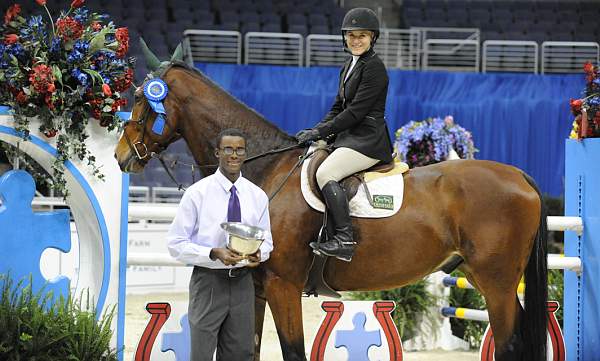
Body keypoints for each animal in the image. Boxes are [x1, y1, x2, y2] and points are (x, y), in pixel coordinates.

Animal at [113, 57, 548, 358]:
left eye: (141, 99)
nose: (121, 156)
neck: (263, 167)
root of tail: (520, 176)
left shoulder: (283, 286)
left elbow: (293, 352)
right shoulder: (256, 289)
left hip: (497, 282)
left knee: (510, 346)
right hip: (483, 277)